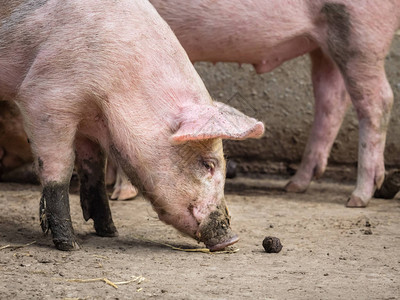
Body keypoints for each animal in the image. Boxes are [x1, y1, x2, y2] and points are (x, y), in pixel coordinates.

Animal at [0, 0, 266, 251]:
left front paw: (109, 232)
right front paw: (70, 246)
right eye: (208, 164)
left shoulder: (89, 120)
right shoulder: (46, 96)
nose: (231, 239)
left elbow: (93, 169)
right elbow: (59, 170)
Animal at [149, 0, 400, 206]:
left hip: (360, 32)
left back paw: (357, 198)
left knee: (379, 100)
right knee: (331, 98)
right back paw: (295, 185)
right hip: (323, 44)